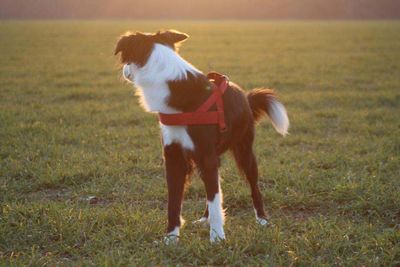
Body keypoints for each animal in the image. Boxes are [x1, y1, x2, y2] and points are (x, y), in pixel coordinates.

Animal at [114, 29, 290, 245]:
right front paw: (171, 238)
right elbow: (175, 201)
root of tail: (245, 96)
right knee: (214, 187)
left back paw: (262, 219)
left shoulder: (206, 156)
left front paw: (217, 238)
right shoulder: (174, 157)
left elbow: (214, 199)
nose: (124, 70)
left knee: (252, 185)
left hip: (244, 151)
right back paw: (205, 218)